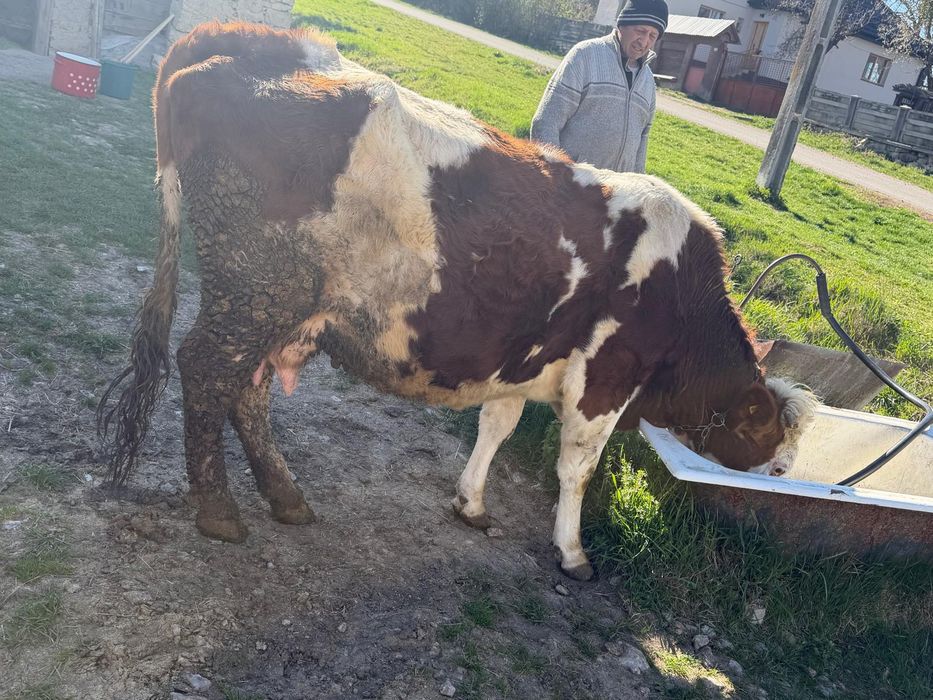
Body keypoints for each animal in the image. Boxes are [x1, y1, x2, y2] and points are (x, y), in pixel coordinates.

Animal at [98, 21, 816, 581]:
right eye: (765, 428)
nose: (781, 472)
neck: (681, 292)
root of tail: (247, 38)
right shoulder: (604, 379)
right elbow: (576, 469)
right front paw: (571, 550)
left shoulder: (526, 358)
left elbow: (496, 425)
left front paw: (470, 502)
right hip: (253, 289)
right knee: (204, 370)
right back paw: (218, 509)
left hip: (277, 305)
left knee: (245, 391)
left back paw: (285, 496)